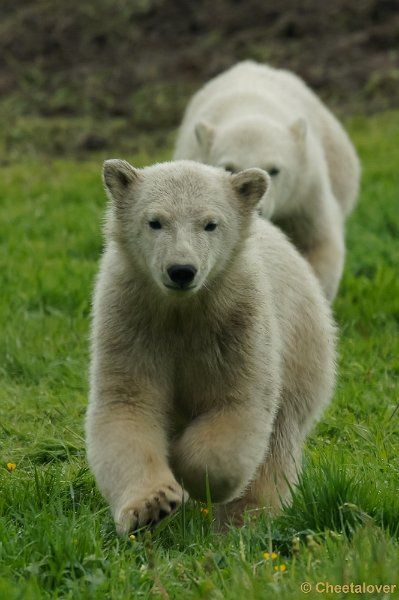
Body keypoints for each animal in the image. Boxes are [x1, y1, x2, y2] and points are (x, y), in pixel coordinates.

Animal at [87, 157, 338, 532]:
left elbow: (236, 403)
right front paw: (153, 505)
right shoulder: (130, 320)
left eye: (210, 224)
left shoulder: (237, 323)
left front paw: (188, 471)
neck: (182, 310)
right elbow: (127, 405)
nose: (181, 270)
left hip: (301, 349)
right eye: (155, 221)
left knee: (278, 441)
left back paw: (248, 516)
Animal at [173, 62, 360, 300]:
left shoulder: (306, 192)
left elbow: (319, 241)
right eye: (228, 167)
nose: (258, 210)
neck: (249, 107)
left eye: (275, 170)